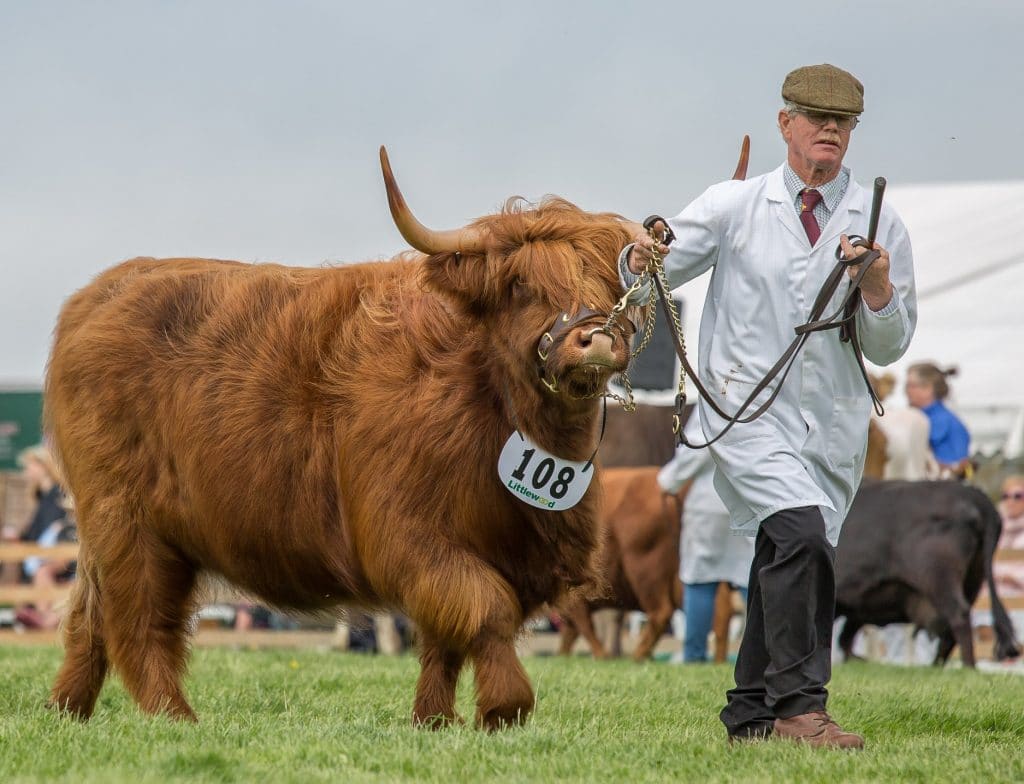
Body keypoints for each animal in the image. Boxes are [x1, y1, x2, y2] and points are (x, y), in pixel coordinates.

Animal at [42, 147, 652, 730]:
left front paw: (433, 719)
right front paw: (505, 707)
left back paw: (68, 709)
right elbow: (482, 608)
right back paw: (174, 717)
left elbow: (446, 638)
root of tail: (101, 294)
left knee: (88, 613)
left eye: (610, 286)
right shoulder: (407, 534)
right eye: (523, 285)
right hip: (129, 521)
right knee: (139, 621)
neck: (492, 400)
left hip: (113, 530)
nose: (597, 340)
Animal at [556, 466, 682, 660]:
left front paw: (602, 655)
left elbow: (583, 626)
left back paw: (639, 655)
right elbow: (570, 634)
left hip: (645, 573)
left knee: (662, 612)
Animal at [835, 479, 1020, 667]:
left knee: (958, 616)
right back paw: (937, 667)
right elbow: (844, 639)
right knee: (951, 630)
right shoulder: (858, 606)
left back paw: (967, 667)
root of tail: (973, 493)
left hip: (938, 579)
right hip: (972, 579)